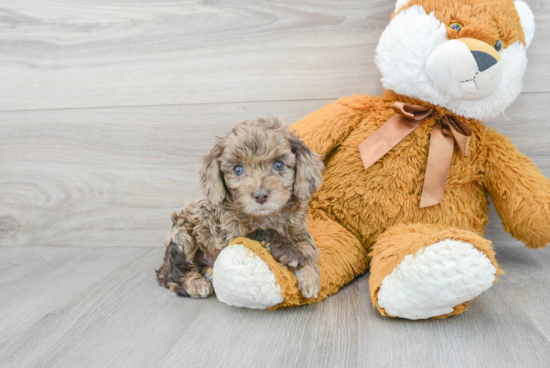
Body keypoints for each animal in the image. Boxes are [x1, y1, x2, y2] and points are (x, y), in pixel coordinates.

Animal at [155, 117, 326, 300]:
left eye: (278, 165)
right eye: (237, 169)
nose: (260, 195)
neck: (265, 217)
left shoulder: (299, 231)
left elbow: (308, 249)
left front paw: (309, 276)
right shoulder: (229, 234)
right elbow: (262, 232)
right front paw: (290, 253)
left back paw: (208, 274)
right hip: (182, 233)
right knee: (171, 271)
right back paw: (196, 283)